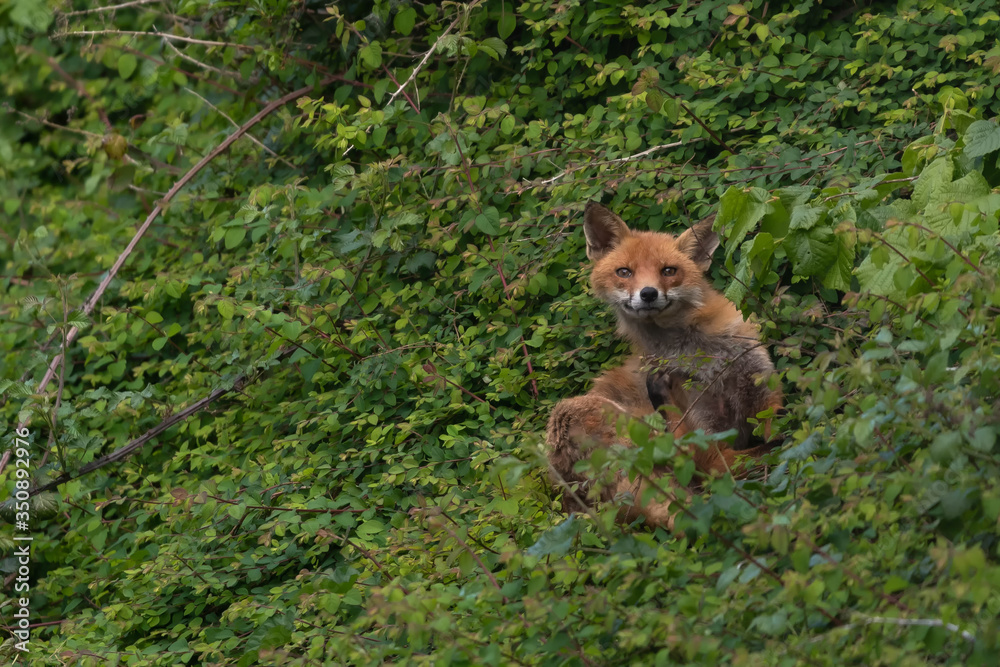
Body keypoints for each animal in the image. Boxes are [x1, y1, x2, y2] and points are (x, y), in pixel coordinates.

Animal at [545, 202, 783, 530]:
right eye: (624, 272)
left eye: (669, 271)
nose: (648, 293)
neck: (705, 360)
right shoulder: (707, 427)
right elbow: (718, 462)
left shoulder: (762, 389)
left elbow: (783, 423)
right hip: (578, 412)